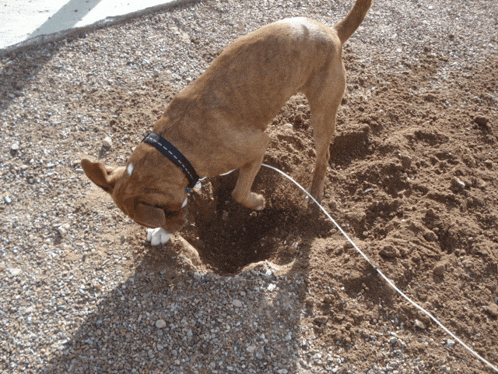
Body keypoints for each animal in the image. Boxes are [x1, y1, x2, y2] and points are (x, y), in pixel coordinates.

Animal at [80, 0, 370, 243]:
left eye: (166, 212)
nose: (173, 227)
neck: (173, 149)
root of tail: (333, 31)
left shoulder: (259, 144)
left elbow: (238, 193)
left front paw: (257, 201)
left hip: (322, 113)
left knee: (324, 155)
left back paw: (315, 192)